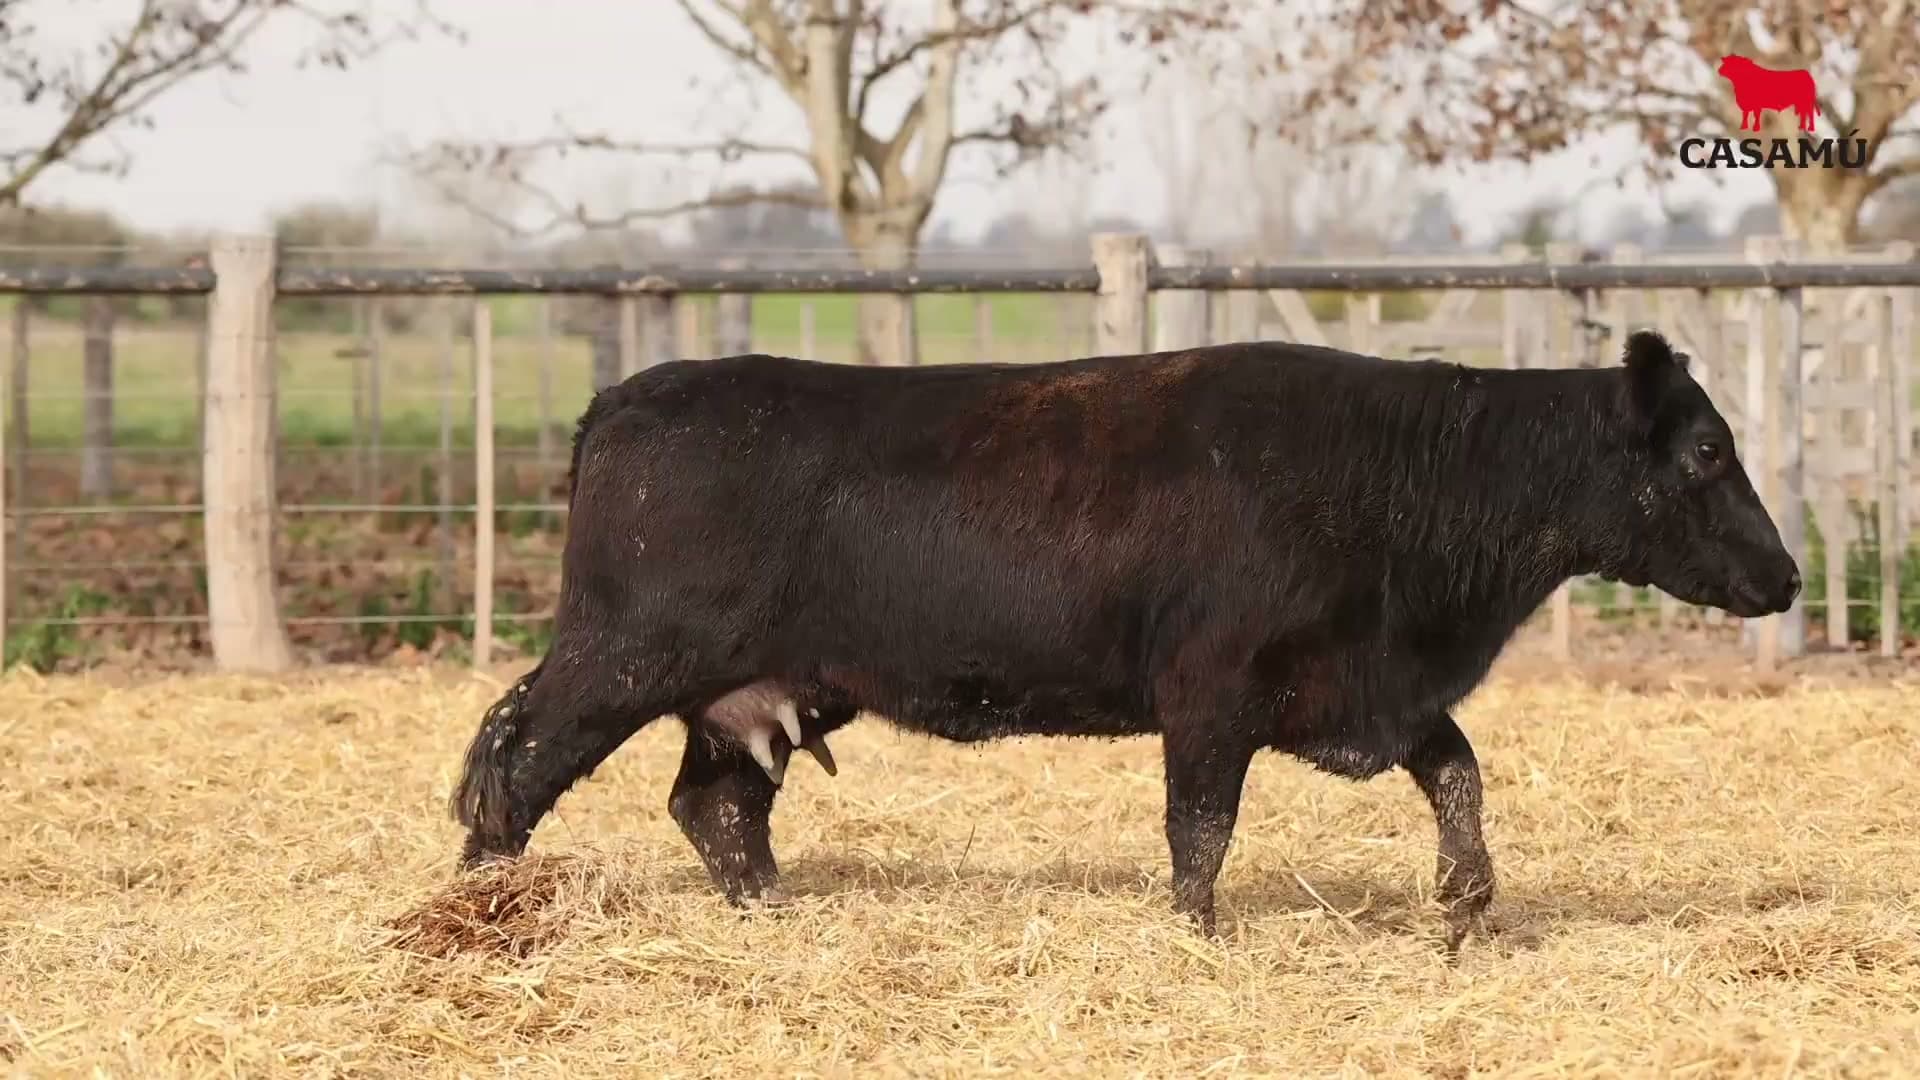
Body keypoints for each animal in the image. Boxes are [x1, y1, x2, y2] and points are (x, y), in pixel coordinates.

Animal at [447, 330, 1799, 951]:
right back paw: (478, 907)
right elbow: (1201, 829)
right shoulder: (1212, 693)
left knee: (715, 804)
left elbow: (1458, 769)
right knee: (509, 762)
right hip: (620, 657)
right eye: (1705, 450)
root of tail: (625, 399)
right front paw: (1200, 934)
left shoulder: (1366, 689)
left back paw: (772, 915)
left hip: (752, 692)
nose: (1786, 575)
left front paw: (1465, 904)